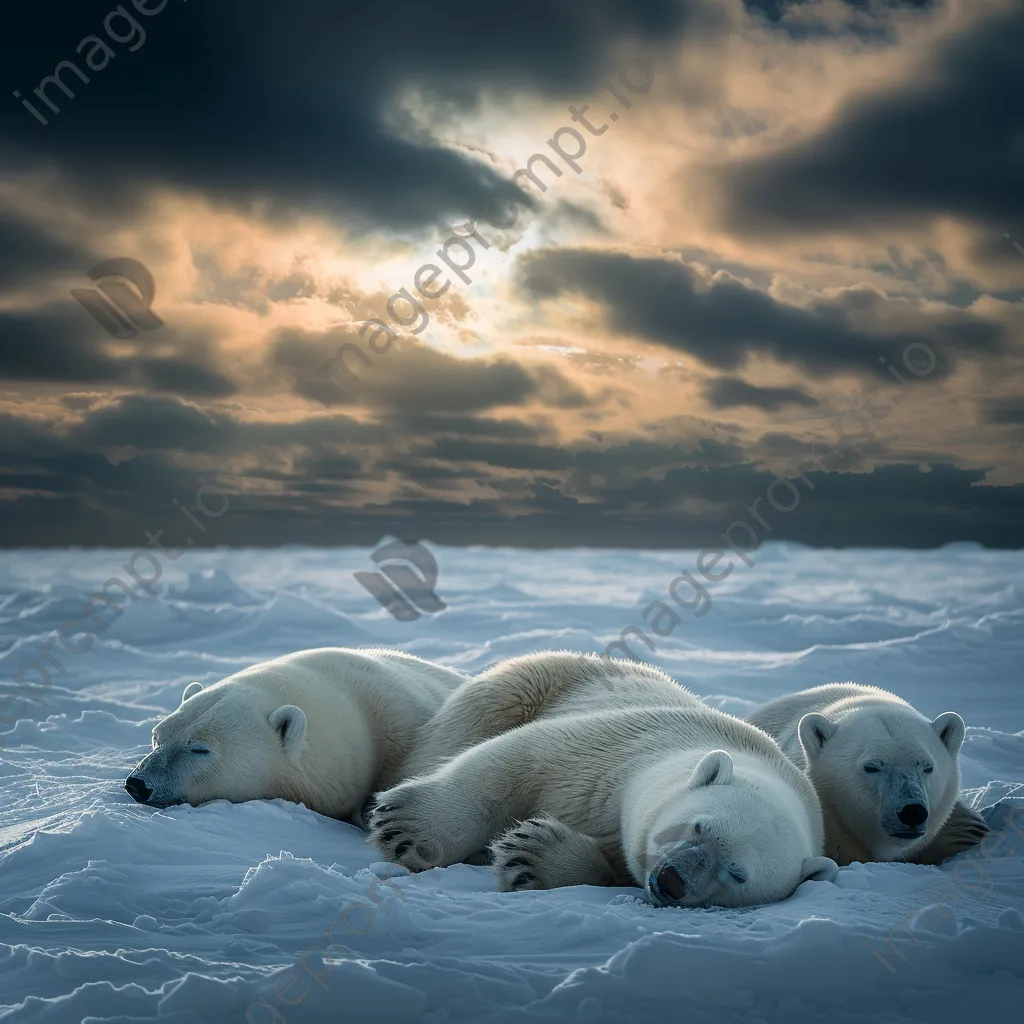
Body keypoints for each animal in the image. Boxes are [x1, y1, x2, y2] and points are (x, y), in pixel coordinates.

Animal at [372, 651, 835, 909]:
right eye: (698, 826)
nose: (673, 881)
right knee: (467, 725)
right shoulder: (622, 746)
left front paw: (532, 855)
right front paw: (408, 830)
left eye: (737, 875)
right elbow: (516, 758)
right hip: (537, 681)